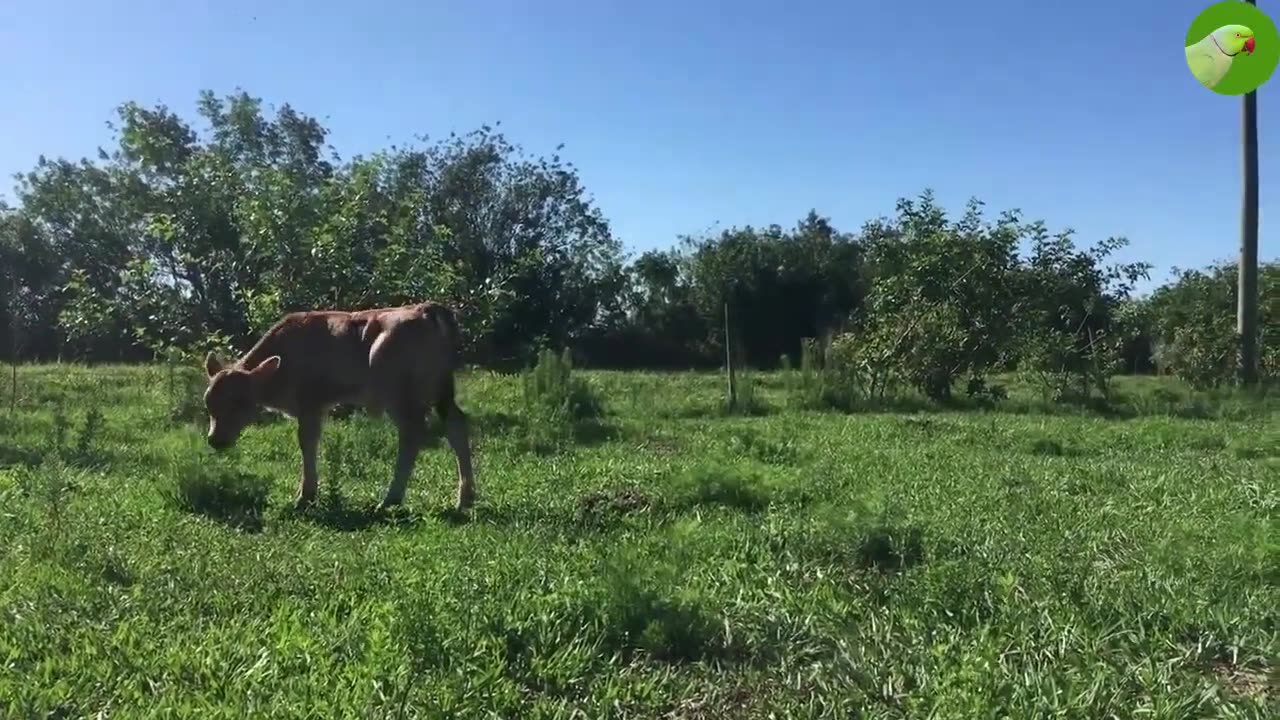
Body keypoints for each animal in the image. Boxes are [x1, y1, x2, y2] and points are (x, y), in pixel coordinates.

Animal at [204, 299, 476, 507]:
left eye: (240, 402)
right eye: (208, 404)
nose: (215, 440)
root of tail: (424, 308)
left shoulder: (310, 403)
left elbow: (307, 442)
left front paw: (306, 495)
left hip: (397, 392)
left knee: (412, 432)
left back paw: (391, 498)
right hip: (442, 390)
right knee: (455, 424)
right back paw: (465, 498)